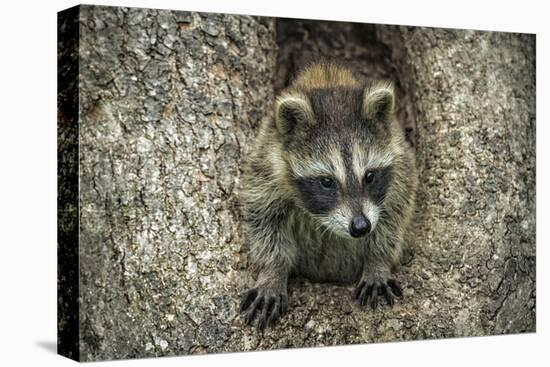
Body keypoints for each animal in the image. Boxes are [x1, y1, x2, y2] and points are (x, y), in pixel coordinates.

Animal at [238, 62, 418, 330]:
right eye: (326, 182)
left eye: (370, 176)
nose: (361, 226)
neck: (328, 81)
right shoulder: (266, 164)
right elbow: (265, 221)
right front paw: (272, 271)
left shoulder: (401, 164)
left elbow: (393, 217)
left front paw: (377, 261)